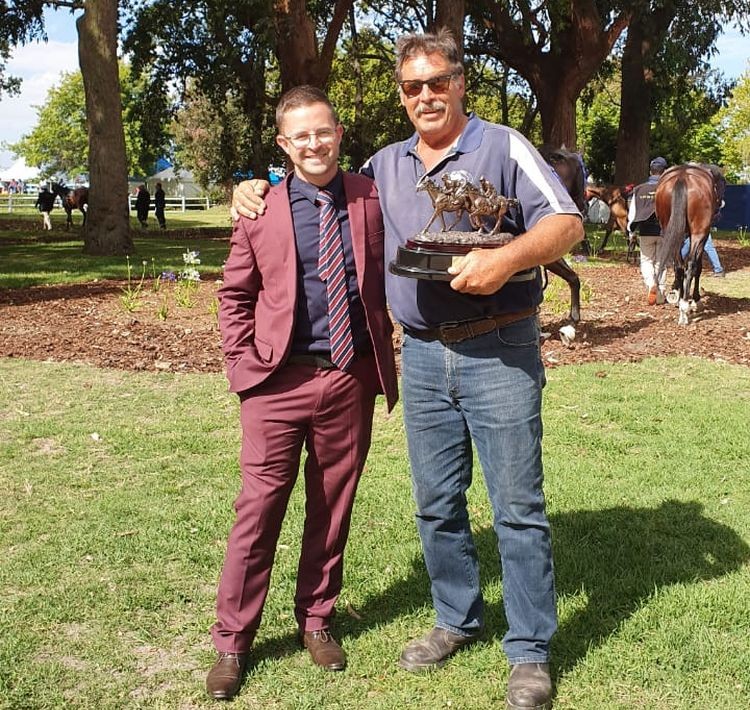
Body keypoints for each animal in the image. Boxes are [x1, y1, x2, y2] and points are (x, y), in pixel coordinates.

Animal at [656, 165, 724, 328]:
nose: (721, 205)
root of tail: (682, 176)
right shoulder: (702, 236)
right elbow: (697, 266)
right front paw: (696, 299)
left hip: (669, 230)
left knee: (679, 265)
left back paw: (681, 301)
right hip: (699, 232)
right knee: (691, 264)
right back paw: (685, 307)